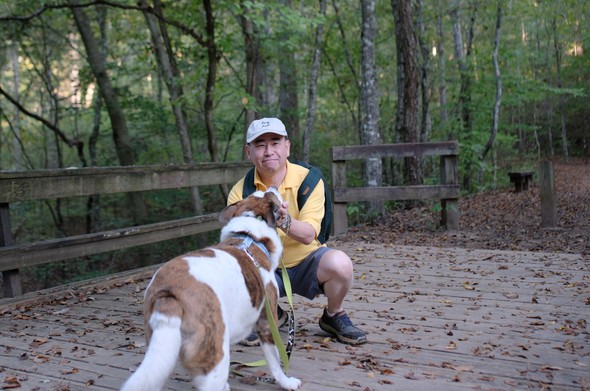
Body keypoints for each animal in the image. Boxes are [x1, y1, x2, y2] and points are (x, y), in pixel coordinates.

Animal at [122, 188, 302, 390]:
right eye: (267, 195)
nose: (272, 188)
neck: (250, 238)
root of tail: (170, 292)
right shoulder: (266, 324)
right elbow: (276, 362)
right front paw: (286, 382)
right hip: (215, 352)